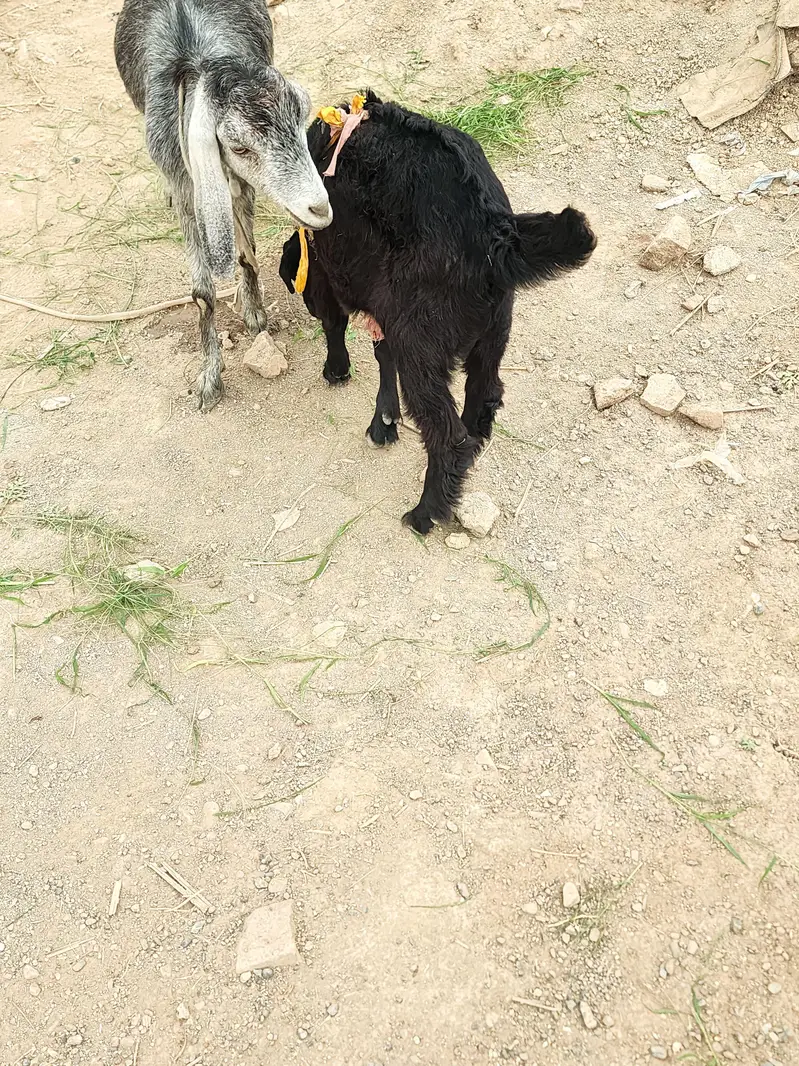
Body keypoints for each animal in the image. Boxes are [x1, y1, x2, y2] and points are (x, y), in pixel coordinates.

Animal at [114, 0, 332, 411]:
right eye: (240, 147)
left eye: (302, 121)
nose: (319, 209)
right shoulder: (186, 184)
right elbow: (203, 293)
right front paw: (210, 379)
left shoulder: (240, 187)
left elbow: (247, 254)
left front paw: (256, 316)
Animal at [279, 93, 596, 534]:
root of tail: (495, 234)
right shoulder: (387, 303)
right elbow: (382, 353)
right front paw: (385, 419)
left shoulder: (338, 277)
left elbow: (337, 326)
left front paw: (339, 372)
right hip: (491, 333)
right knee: (484, 397)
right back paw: (474, 446)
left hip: (422, 346)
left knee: (446, 436)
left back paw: (425, 511)